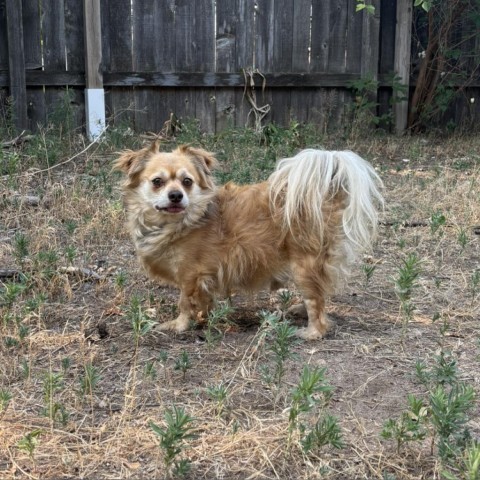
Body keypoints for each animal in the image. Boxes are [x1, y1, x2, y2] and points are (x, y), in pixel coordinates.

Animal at [113, 141, 382, 340]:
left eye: (187, 182)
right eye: (157, 182)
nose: (176, 195)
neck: (181, 222)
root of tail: (326, 193)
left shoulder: (190, 275)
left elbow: (184, 303)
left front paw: (179, 325)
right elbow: (204, 302)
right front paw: (205, 318)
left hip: (303, 266)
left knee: (316, 304)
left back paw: (310, 331)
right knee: (321, 293)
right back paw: (300, 311)